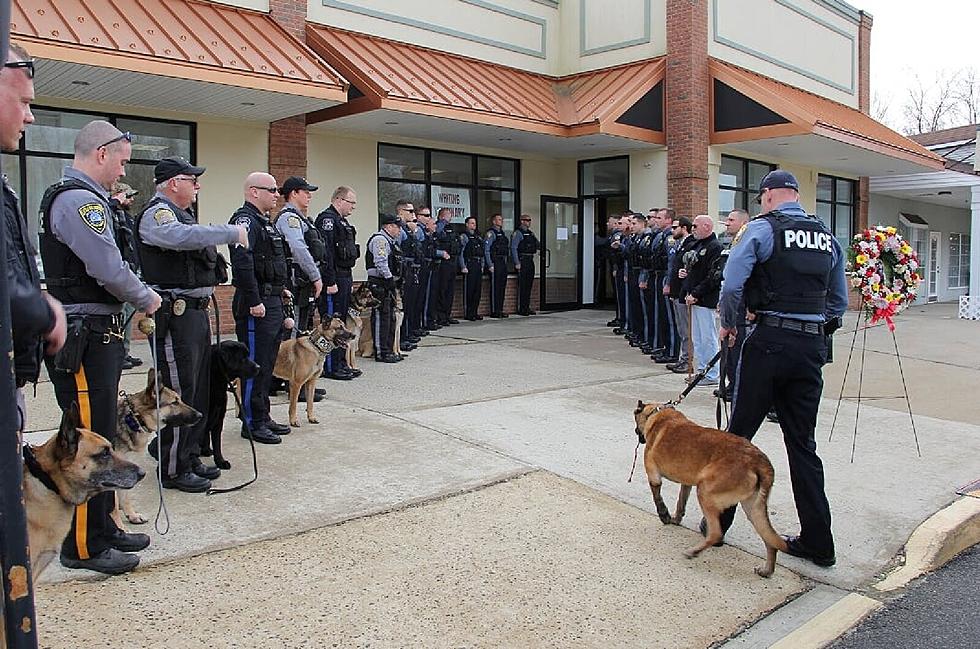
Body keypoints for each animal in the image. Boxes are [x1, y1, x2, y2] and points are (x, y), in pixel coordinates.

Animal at [112, 370, 202, 528]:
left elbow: (124, 497)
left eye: (179, 400)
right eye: (174, 402)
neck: (135, 419)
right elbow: (114, 505)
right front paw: (120, 527)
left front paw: (132, 515)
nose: (200, 415)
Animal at [636, 400, 788, 576]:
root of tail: (759, 460)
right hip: (753, 508)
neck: (655, 414)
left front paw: (664, 516)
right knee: (770, 540)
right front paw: (675, 519)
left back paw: (694, 551)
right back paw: (767, 570)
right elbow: (681, 503)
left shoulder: (653, 476)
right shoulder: (687, 484)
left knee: (716, 533)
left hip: (705, 492)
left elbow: (658, 497)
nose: (637, 434)